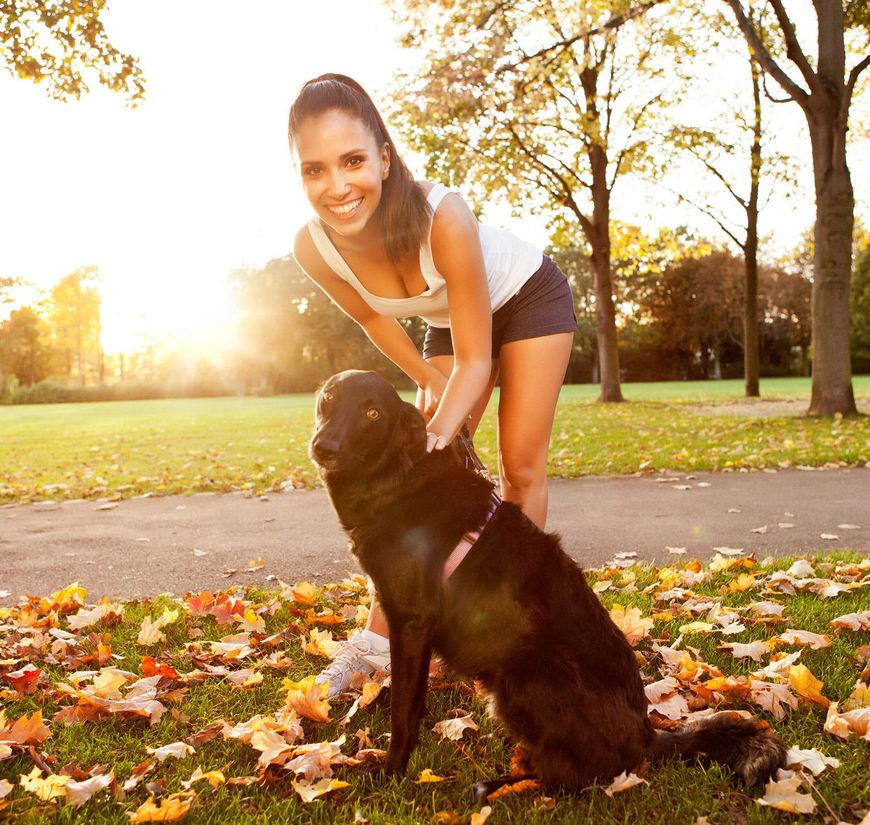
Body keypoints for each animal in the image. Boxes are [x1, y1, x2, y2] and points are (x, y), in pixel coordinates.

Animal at [309, 369, 787, 788]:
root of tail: (646, 735)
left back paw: (498, 786)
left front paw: (391, 772)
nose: (323, 447)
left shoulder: (410, 620)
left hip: (525, 674)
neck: (396, 475)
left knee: (575, 778)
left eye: (372, 413)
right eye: (328, 399)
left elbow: (404, 710)